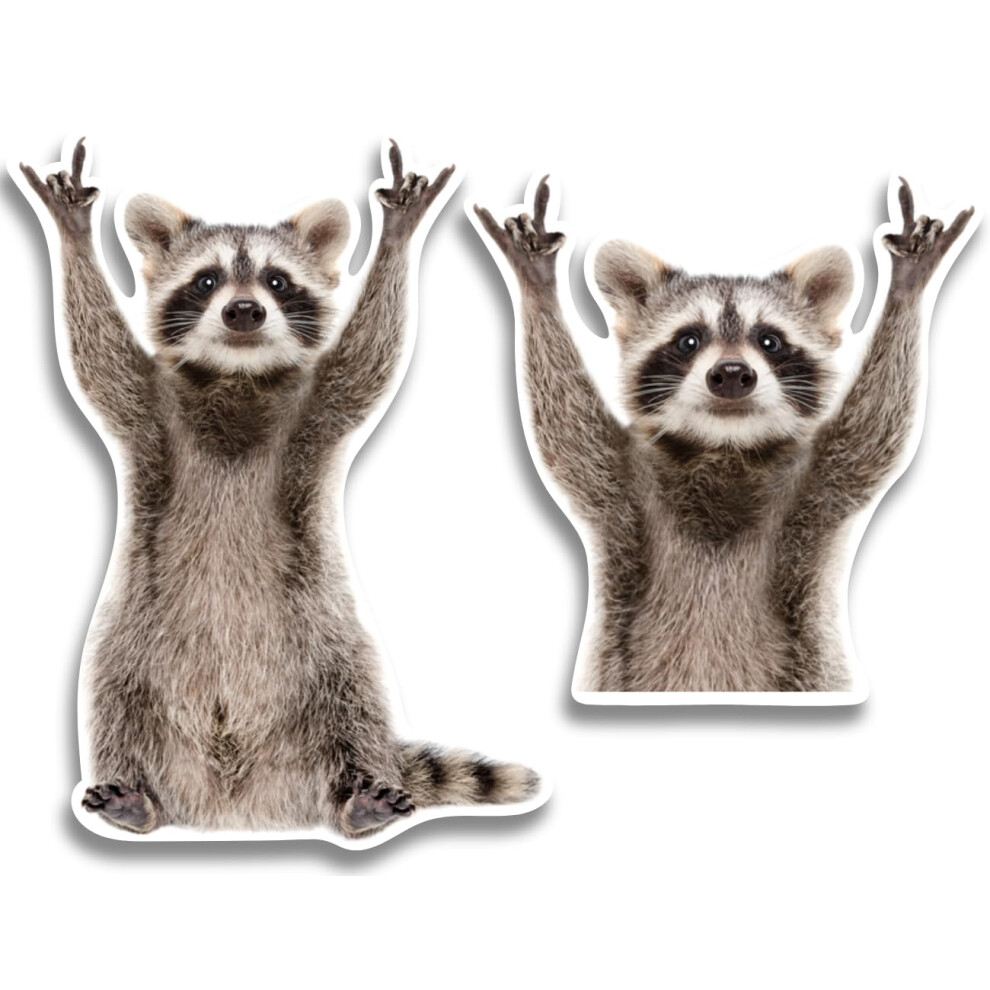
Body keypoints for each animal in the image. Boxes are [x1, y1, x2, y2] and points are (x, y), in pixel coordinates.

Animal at [20, 139, 538, 837]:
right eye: (207, 280)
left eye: (276, 281)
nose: (244, 311)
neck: (236, 377)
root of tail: (239, 803)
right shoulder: (149, 407)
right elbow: (99, 359)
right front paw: (74, 232)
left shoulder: (314, 409)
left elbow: (368, 359)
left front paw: (397, 236)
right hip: (135, 633)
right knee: (113, 690)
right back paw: (136, 797)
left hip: (327, 642)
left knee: (357, 698)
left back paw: (358, 798)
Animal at [475, 178, 974, 692]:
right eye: (688, 340)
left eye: (769, 341)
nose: (732, 374)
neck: (724, 447)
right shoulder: (621, 485)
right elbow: (566, 429)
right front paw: (537, 286)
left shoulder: (817, 486)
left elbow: (875, 430)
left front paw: (907, 287)